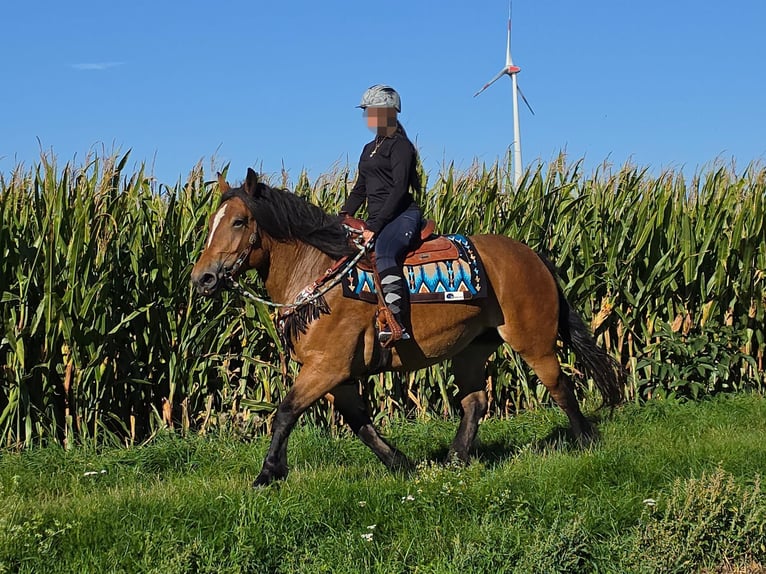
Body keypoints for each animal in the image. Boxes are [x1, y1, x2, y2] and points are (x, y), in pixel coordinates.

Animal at [191, 168, 625, 487]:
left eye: (239, 221)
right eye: (211, 223)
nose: (203, 278)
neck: (319, 273)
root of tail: (532, 256)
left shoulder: (327, 367)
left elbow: (284, 411)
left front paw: (268, 474)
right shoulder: (337, 375)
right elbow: (360, 424)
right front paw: (402, 464)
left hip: (533, 341)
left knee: (560, 386)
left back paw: (585, 441)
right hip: (471, 349)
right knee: (475, 402)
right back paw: (456, 459)